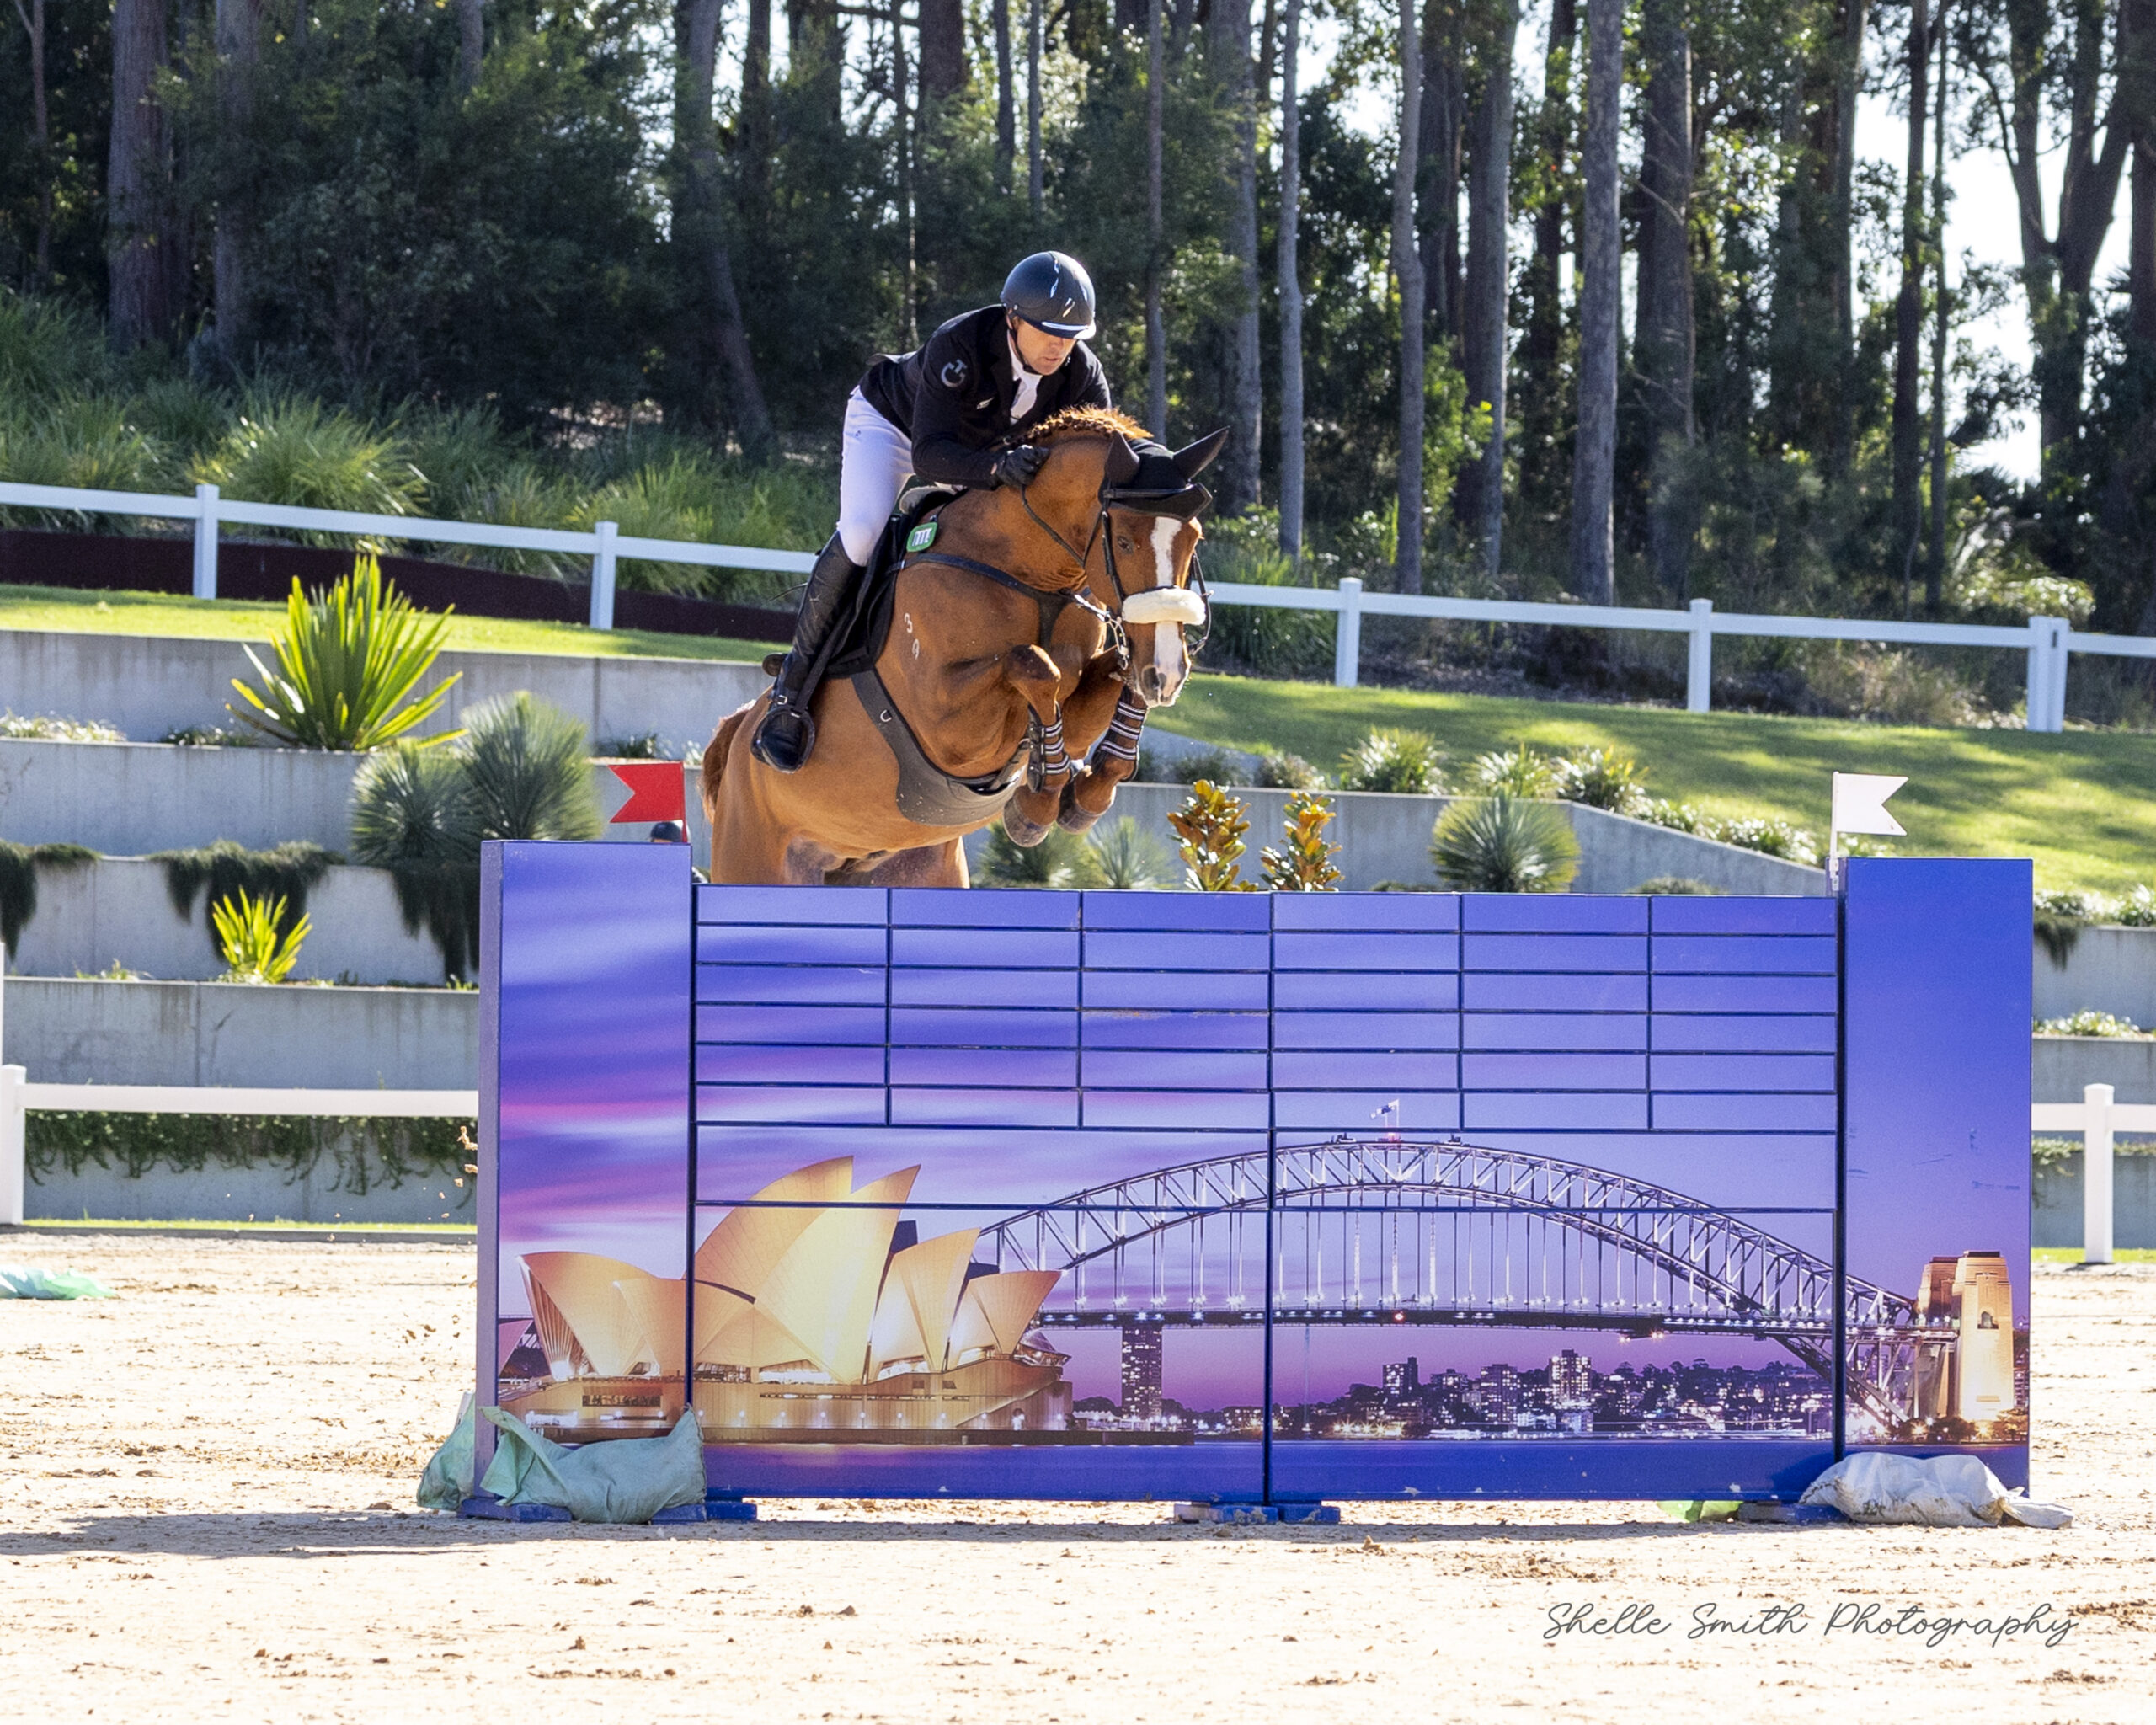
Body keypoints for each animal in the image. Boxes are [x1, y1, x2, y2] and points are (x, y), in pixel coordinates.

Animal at [700, 407, 1223, 886]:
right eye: (1126, 542)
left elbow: (1108, 680)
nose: (1168, 674)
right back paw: (782, 732)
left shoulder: (1080, 707)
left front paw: (1085, 793)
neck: (1032, 576)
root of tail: (737, 734)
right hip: (756, 861)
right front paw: (1036, 804)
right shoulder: (945, 722)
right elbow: (1032, 664)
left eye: (1193, 538)